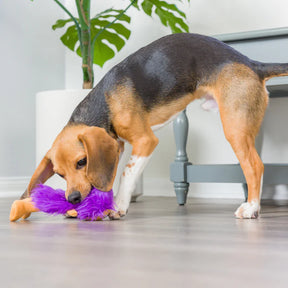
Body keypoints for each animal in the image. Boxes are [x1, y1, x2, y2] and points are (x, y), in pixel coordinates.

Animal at [13, 33, 288, 218]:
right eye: (59, 174)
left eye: (82, 162)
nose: (73, 199)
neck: (105, 103)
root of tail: (252, 63)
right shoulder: (119, 145)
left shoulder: (145, 141)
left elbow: (126, 173)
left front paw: (118, 206)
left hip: (235, 128)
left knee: (255, 166)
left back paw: (252, 207)